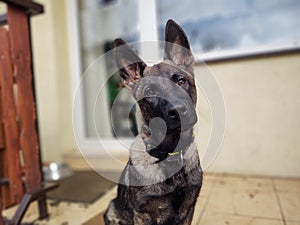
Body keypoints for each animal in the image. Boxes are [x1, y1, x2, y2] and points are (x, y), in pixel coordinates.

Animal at [104, 19, 203, 225]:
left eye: (181, 81)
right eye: (150, 92)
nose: (178, 110)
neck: (170, 153)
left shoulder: (188, 210)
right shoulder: (143, 215)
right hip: (111, 209)